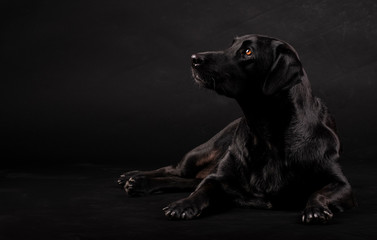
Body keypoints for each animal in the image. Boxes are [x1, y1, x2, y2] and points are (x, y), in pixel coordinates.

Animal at [118, 34, 356, 224]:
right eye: (230, 45)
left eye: (247, 52)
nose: (194, 58)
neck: (267, 135)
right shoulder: (217, 178)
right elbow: (201, 191)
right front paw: (183, 205)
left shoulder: (341, 184)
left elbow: (319, 193)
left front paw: (316, 209)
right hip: (201, 153)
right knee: (174, 170)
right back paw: (134, 177)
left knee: (186, 180)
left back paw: (138, 182)